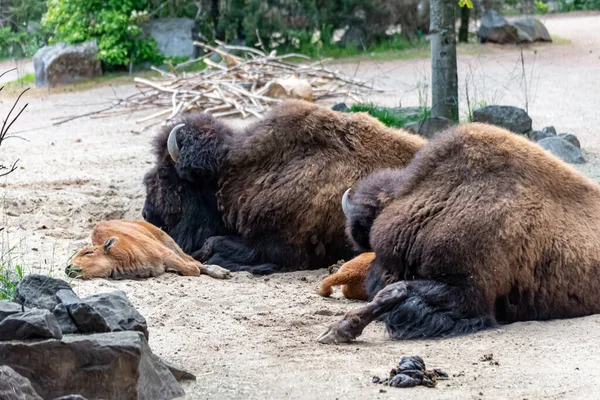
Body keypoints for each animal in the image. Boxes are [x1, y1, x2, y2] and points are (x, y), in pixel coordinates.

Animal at [67, 220, 232, 280]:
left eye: (88, 252)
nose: (68, 267)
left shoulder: (166, 254)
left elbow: (192, 269)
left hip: (169, 242)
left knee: (193, 261)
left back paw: (222, 272)